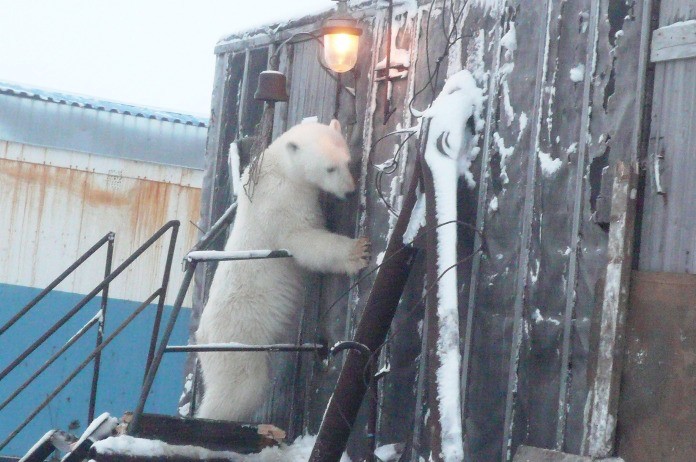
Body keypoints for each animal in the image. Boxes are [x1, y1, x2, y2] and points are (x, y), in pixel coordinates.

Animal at [196, 120, 370, 422]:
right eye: (329, 168)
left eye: (347, 162)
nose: (349, 191)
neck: (278, 165)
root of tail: (202, 338)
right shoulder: (281, 201)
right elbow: (303, 239)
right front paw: (357, 250)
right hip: (238, 337)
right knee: (240, 386)